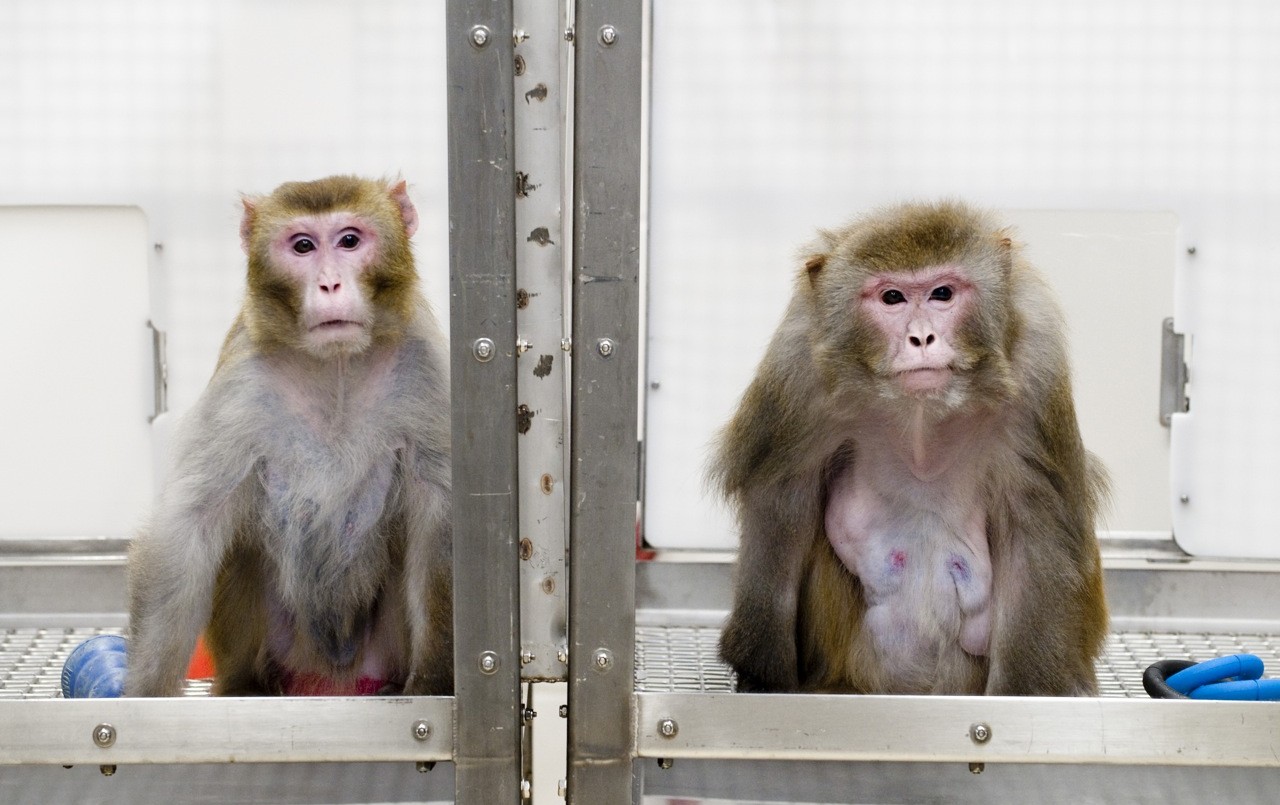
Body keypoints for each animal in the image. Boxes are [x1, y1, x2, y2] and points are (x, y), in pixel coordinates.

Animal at [126, 175, 452, 697]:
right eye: (302, 246)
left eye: (349, 240)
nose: (330, 283)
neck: (336, 366)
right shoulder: (241, 377)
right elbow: (189, 523)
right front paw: (142, 691)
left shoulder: (425, 368)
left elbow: (439, 521)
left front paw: (432, 682)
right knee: (240, 552)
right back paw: (247, 685)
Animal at [712, 201, 1108, 696]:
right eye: (892, 298)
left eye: (942, 293)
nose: (921, 338)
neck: (921, 415)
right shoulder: (797, 372)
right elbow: (780, 504)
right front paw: (763, 676)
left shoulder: (1038, 369)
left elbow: (1036, 527)